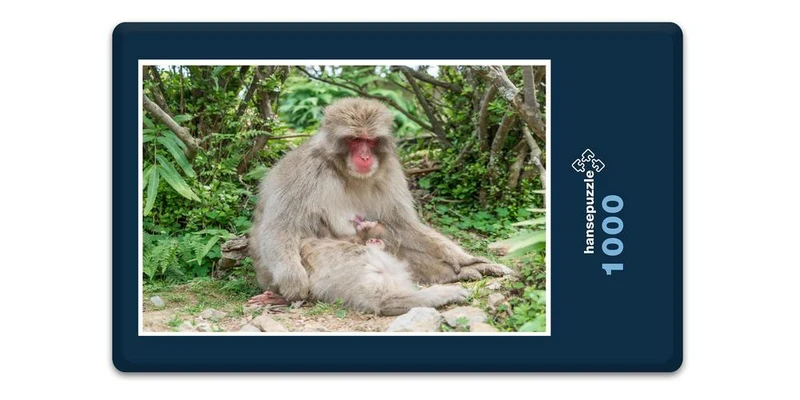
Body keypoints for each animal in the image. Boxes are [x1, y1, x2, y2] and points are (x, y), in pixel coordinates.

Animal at [249, 97, 514, 301]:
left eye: (370, 140)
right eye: (355, 139)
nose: (365, 157)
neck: (346, 172)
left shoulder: (390, 172)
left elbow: (403, 225)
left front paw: (465, 260)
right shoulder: (303, 172)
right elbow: (280, 228)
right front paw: (293, 280)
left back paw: (459, 273)